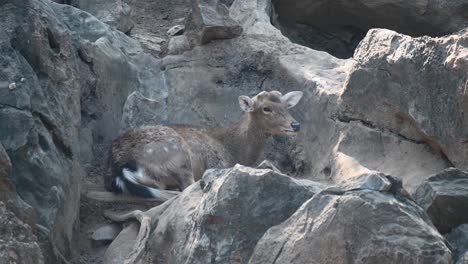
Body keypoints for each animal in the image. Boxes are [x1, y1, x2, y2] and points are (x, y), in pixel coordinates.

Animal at [104, 91, 304, 200]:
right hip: (177, 153)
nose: (296, 125)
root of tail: (119, 167)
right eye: (266, 108)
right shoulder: (219, 164)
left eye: (287, 105)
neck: (234, 150)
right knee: (187, 186)